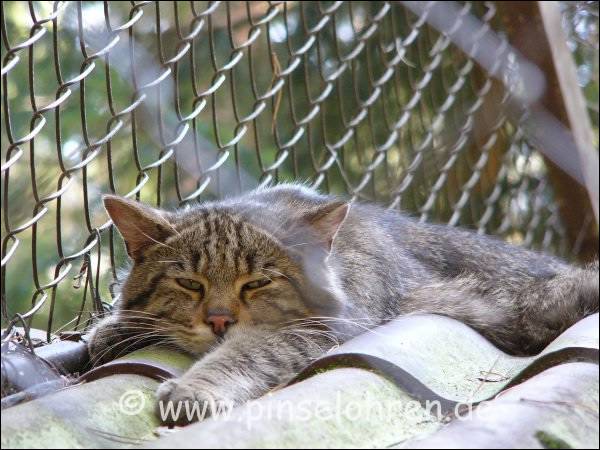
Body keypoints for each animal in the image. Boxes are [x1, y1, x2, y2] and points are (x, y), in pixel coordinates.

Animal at [86, 182, 596, 422]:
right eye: (190, 283)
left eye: (258, 283)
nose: (218, 321)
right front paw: (113, 329)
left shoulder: (315, 330)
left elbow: (247, 353)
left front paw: (197, 387)